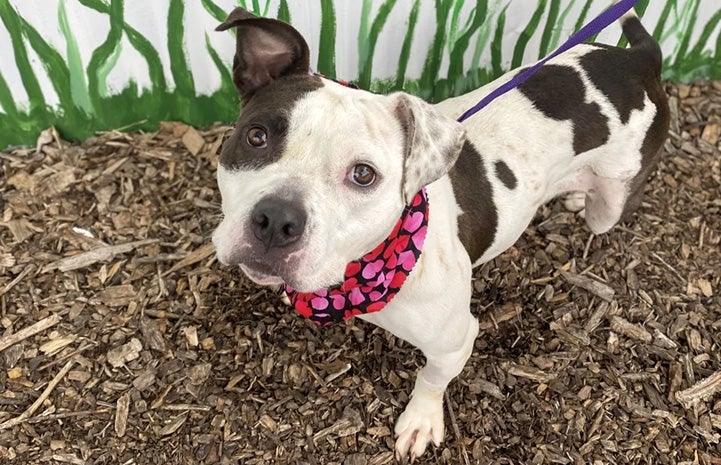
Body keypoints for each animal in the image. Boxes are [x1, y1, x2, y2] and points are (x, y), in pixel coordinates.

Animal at [211, 3, 668, 460]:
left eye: (363, 174)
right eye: (256, 136)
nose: (276, 220)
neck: (366, 268)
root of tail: (638, 58)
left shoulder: (455, 342)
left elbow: (431, 379)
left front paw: (421, 421)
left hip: (611, 202)